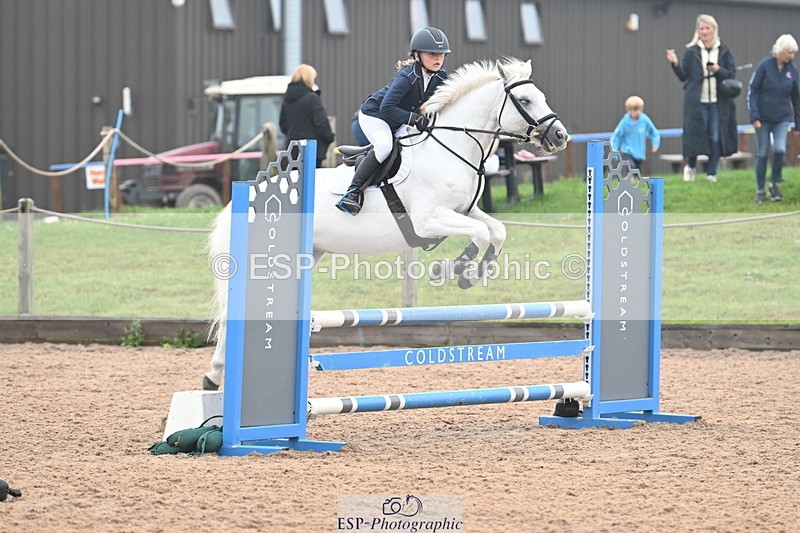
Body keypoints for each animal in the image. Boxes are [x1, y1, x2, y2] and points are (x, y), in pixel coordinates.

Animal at [203, 57, 569, 390]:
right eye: (525, 101)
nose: (560, 136)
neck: (451, 149)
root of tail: (243, 197)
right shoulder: (428, 220)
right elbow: (479, 234)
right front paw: (452, 270)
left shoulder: (464, 211)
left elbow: (496, 231)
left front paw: (475, 273)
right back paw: (214, 376)